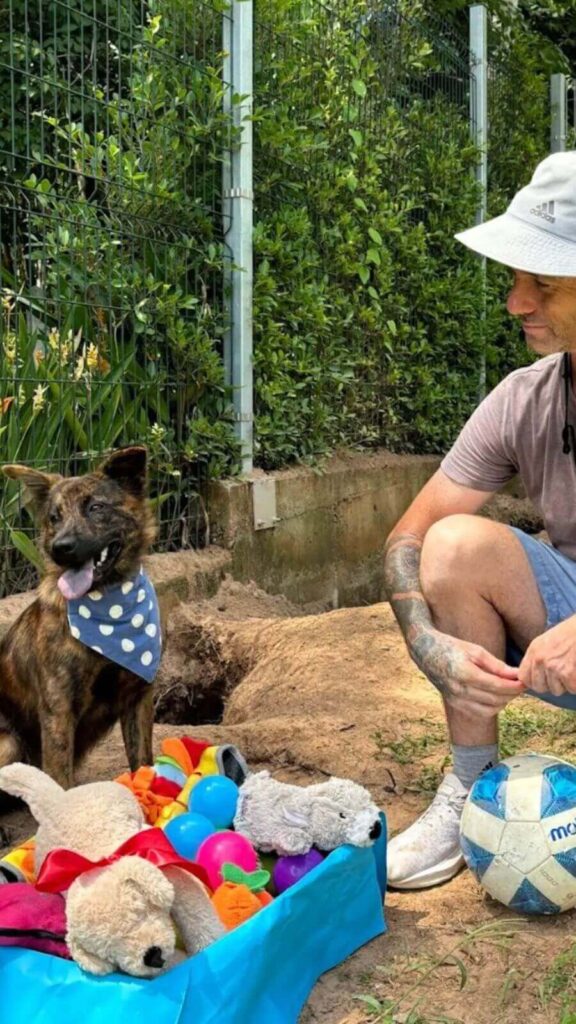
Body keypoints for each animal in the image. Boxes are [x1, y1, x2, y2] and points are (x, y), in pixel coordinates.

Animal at [0, 444, 155, 786]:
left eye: (96, 507)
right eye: (54, 517)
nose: (62, 547)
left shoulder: (137, 699)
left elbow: (144, 763)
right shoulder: (58, 710)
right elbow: (60, 783)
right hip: (9, 742)